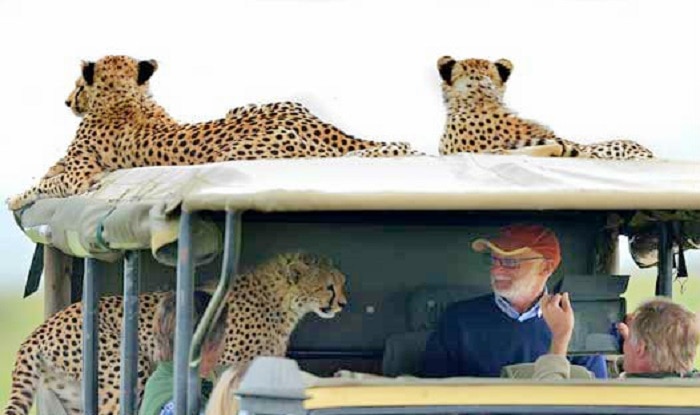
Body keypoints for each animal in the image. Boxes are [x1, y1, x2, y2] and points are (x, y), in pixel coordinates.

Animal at [3, 252, 347, 415]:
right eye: (329, 286)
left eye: (341, 283)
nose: (343, 303)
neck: (282, 299)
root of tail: (39, 330)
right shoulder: (227, 363)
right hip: (127, 369)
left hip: (73, 391)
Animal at [7, 55, 421, 211]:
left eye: (78, 85)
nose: (67, 101)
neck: (126, 97)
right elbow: (49, 173)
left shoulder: (81, 177)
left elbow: (48, 182)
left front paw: (16, 197)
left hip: (241, 152)